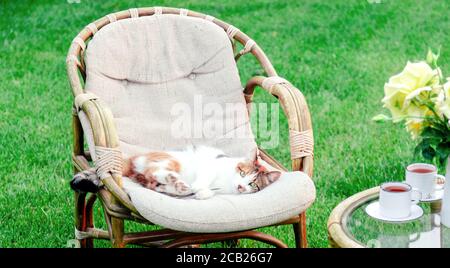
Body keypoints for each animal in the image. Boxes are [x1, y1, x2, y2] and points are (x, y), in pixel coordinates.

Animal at [121, 147, 280, 199]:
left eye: (253, 184)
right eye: (242, 173)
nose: (241, 187)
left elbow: (211, 191)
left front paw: (202, 193)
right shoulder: (211, 164)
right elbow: (207, 175)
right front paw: (199, 187)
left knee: (153, 183)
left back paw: (179, 186)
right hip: (172, 160)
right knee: (152, 171)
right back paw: (173, 178)